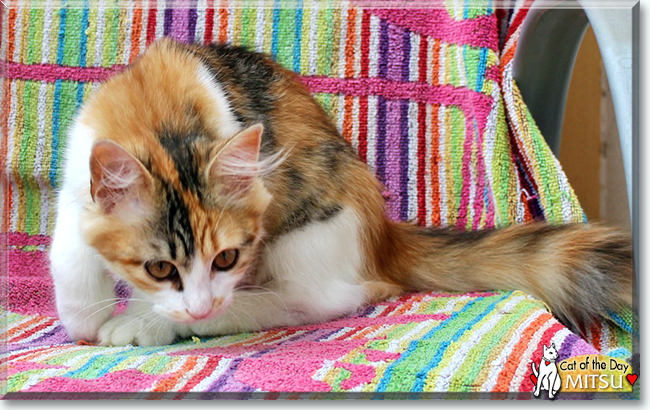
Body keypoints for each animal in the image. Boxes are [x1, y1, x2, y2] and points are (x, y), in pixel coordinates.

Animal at [48, 38, 632, 346]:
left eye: (227, 258)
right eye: (159, 267)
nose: (197, 307)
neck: (162, 120)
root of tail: (383, 232)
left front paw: (129, 320)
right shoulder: (79, 172)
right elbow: (69, 251)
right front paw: (86, 314)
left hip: (307, 236)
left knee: (313, 302)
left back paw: (151, 323)